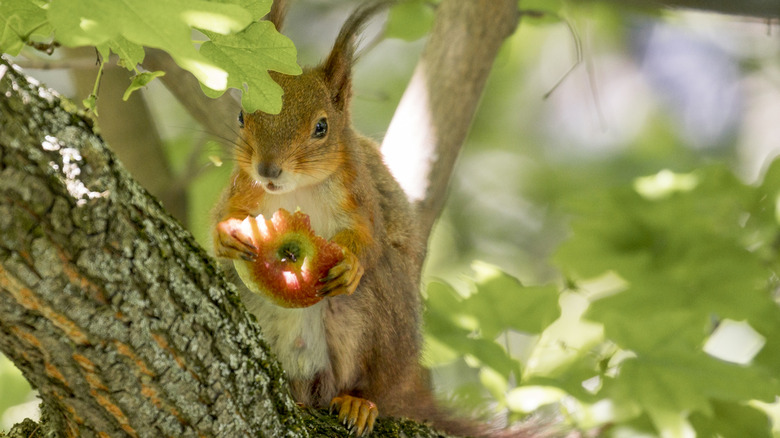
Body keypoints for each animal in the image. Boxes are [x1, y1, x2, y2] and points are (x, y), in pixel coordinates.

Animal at [212, 1, 544, 437]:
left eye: (322, 127)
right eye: (241, 117)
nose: (268, 169)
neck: (297, 189)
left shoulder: (359, 194)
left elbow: (369, 236)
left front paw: (352, 263)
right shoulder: (242, 188)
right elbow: (221, 217)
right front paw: (225, 235)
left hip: (380, 326)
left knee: (371, 383)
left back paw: (357, 402)